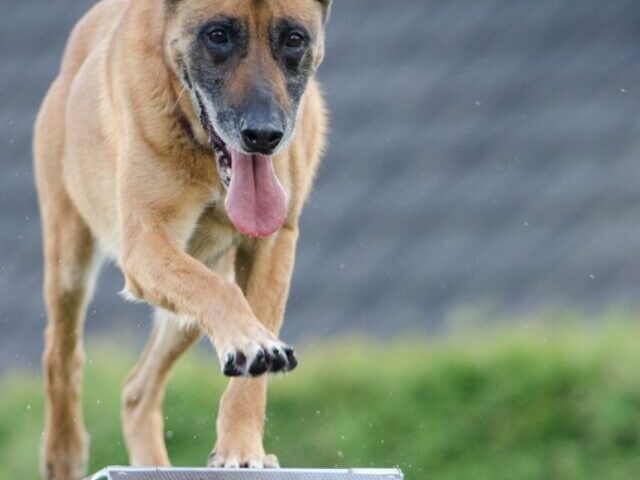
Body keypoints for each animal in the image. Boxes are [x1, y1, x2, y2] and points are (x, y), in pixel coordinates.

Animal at [33, 1, 330, 478]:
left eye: (294, 39)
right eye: (219, 35)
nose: (264, 136)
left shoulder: (273, 246)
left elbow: (252, 361)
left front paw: (240, 448)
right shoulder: (146, 244)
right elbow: (225, 300)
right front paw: (252, 343)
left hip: (187, 311)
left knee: (137, 391)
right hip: (69, 263)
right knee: (60, 354)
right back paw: (64, 451)